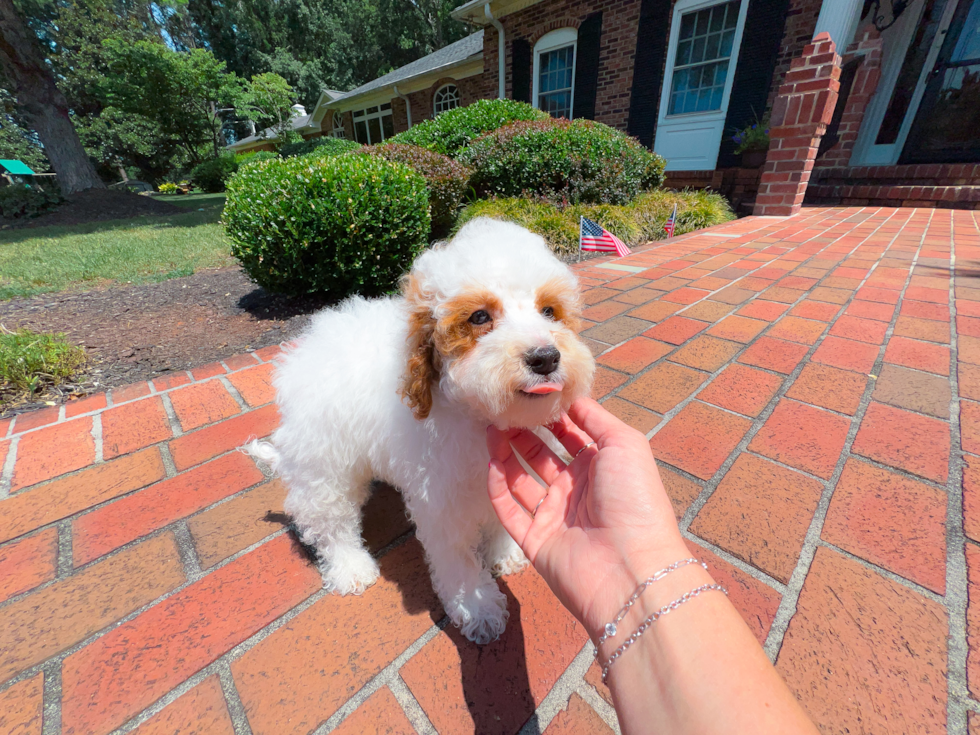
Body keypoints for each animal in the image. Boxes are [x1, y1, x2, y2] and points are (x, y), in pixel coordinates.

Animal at [249, 216, 592, 640]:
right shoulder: (441, 500)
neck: (477, 413)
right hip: (324, 461)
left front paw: (504, 554)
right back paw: (350, 567)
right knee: (328, 520)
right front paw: (478, 607)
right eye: (480, 317)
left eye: (548, 310)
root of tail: (307, 345)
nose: (545, 357)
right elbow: (458, 557)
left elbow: (499, 518)